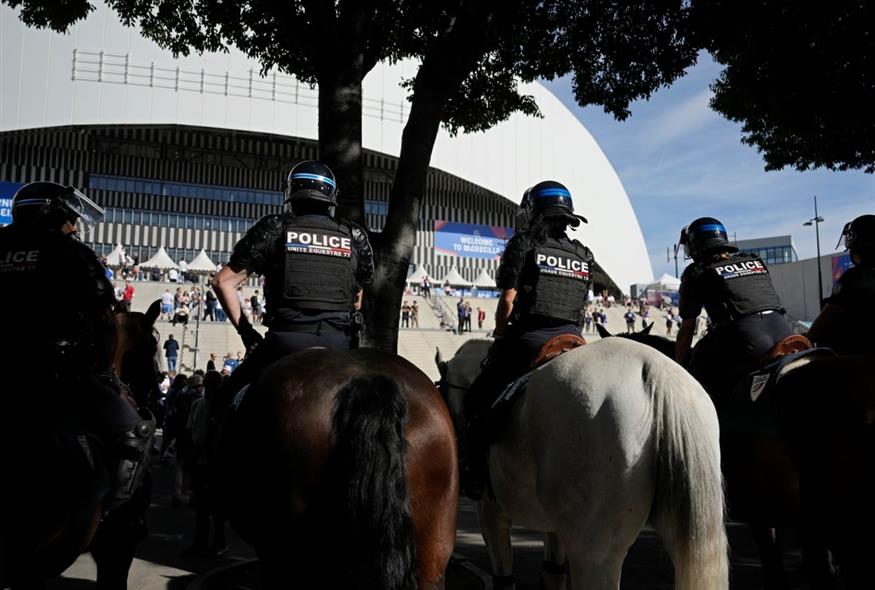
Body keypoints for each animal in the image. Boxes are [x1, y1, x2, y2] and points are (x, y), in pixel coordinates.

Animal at [438, 338, 732, 590]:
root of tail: (655, 368)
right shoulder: (553, 527)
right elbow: (553, 573)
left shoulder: (491, 512)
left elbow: (505, 578)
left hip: (593, 554)